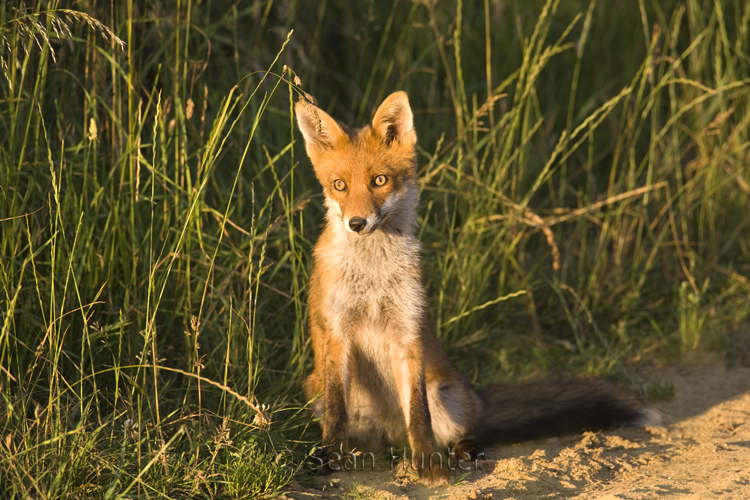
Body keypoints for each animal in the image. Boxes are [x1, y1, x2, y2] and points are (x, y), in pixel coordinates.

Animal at [294, 92, 656, 486]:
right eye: (339, 185)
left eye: (379, 180)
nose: (357, 223)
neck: (372, 276)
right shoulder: (336, 332)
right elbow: (336, 415)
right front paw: (329, 459)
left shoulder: (408, 329)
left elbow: (419, 415)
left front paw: (430, 464)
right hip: (316, 390)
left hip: (447, 397)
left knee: (462, 430)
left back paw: (457, 452)